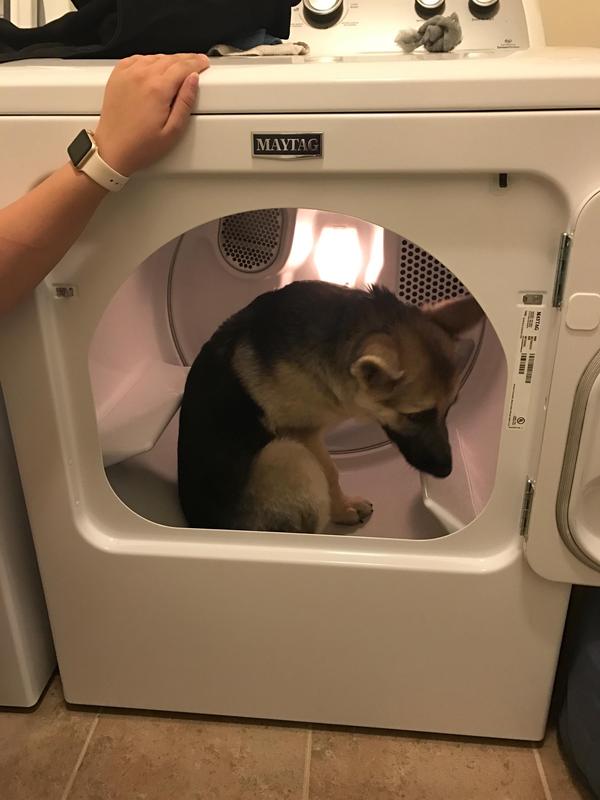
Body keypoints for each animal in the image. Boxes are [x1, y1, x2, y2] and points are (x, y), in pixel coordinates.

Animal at [178, 278, 482, 536]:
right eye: (415, 415)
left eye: (450, 408)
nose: (446, 471)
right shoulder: (304, 434)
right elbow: (331, 473)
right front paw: (342, 509)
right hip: (288, 454)